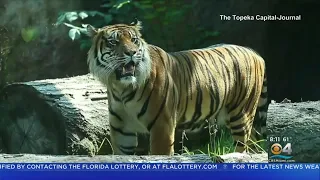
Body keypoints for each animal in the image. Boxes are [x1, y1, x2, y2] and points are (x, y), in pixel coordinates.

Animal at [86, 19, 268, 155]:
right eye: (113, 42)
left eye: (134, 40)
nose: (132, 52)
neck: (122, 88)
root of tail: (254, 53)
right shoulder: (122, 130)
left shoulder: (162, 126)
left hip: (241, 116)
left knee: (243, 147)